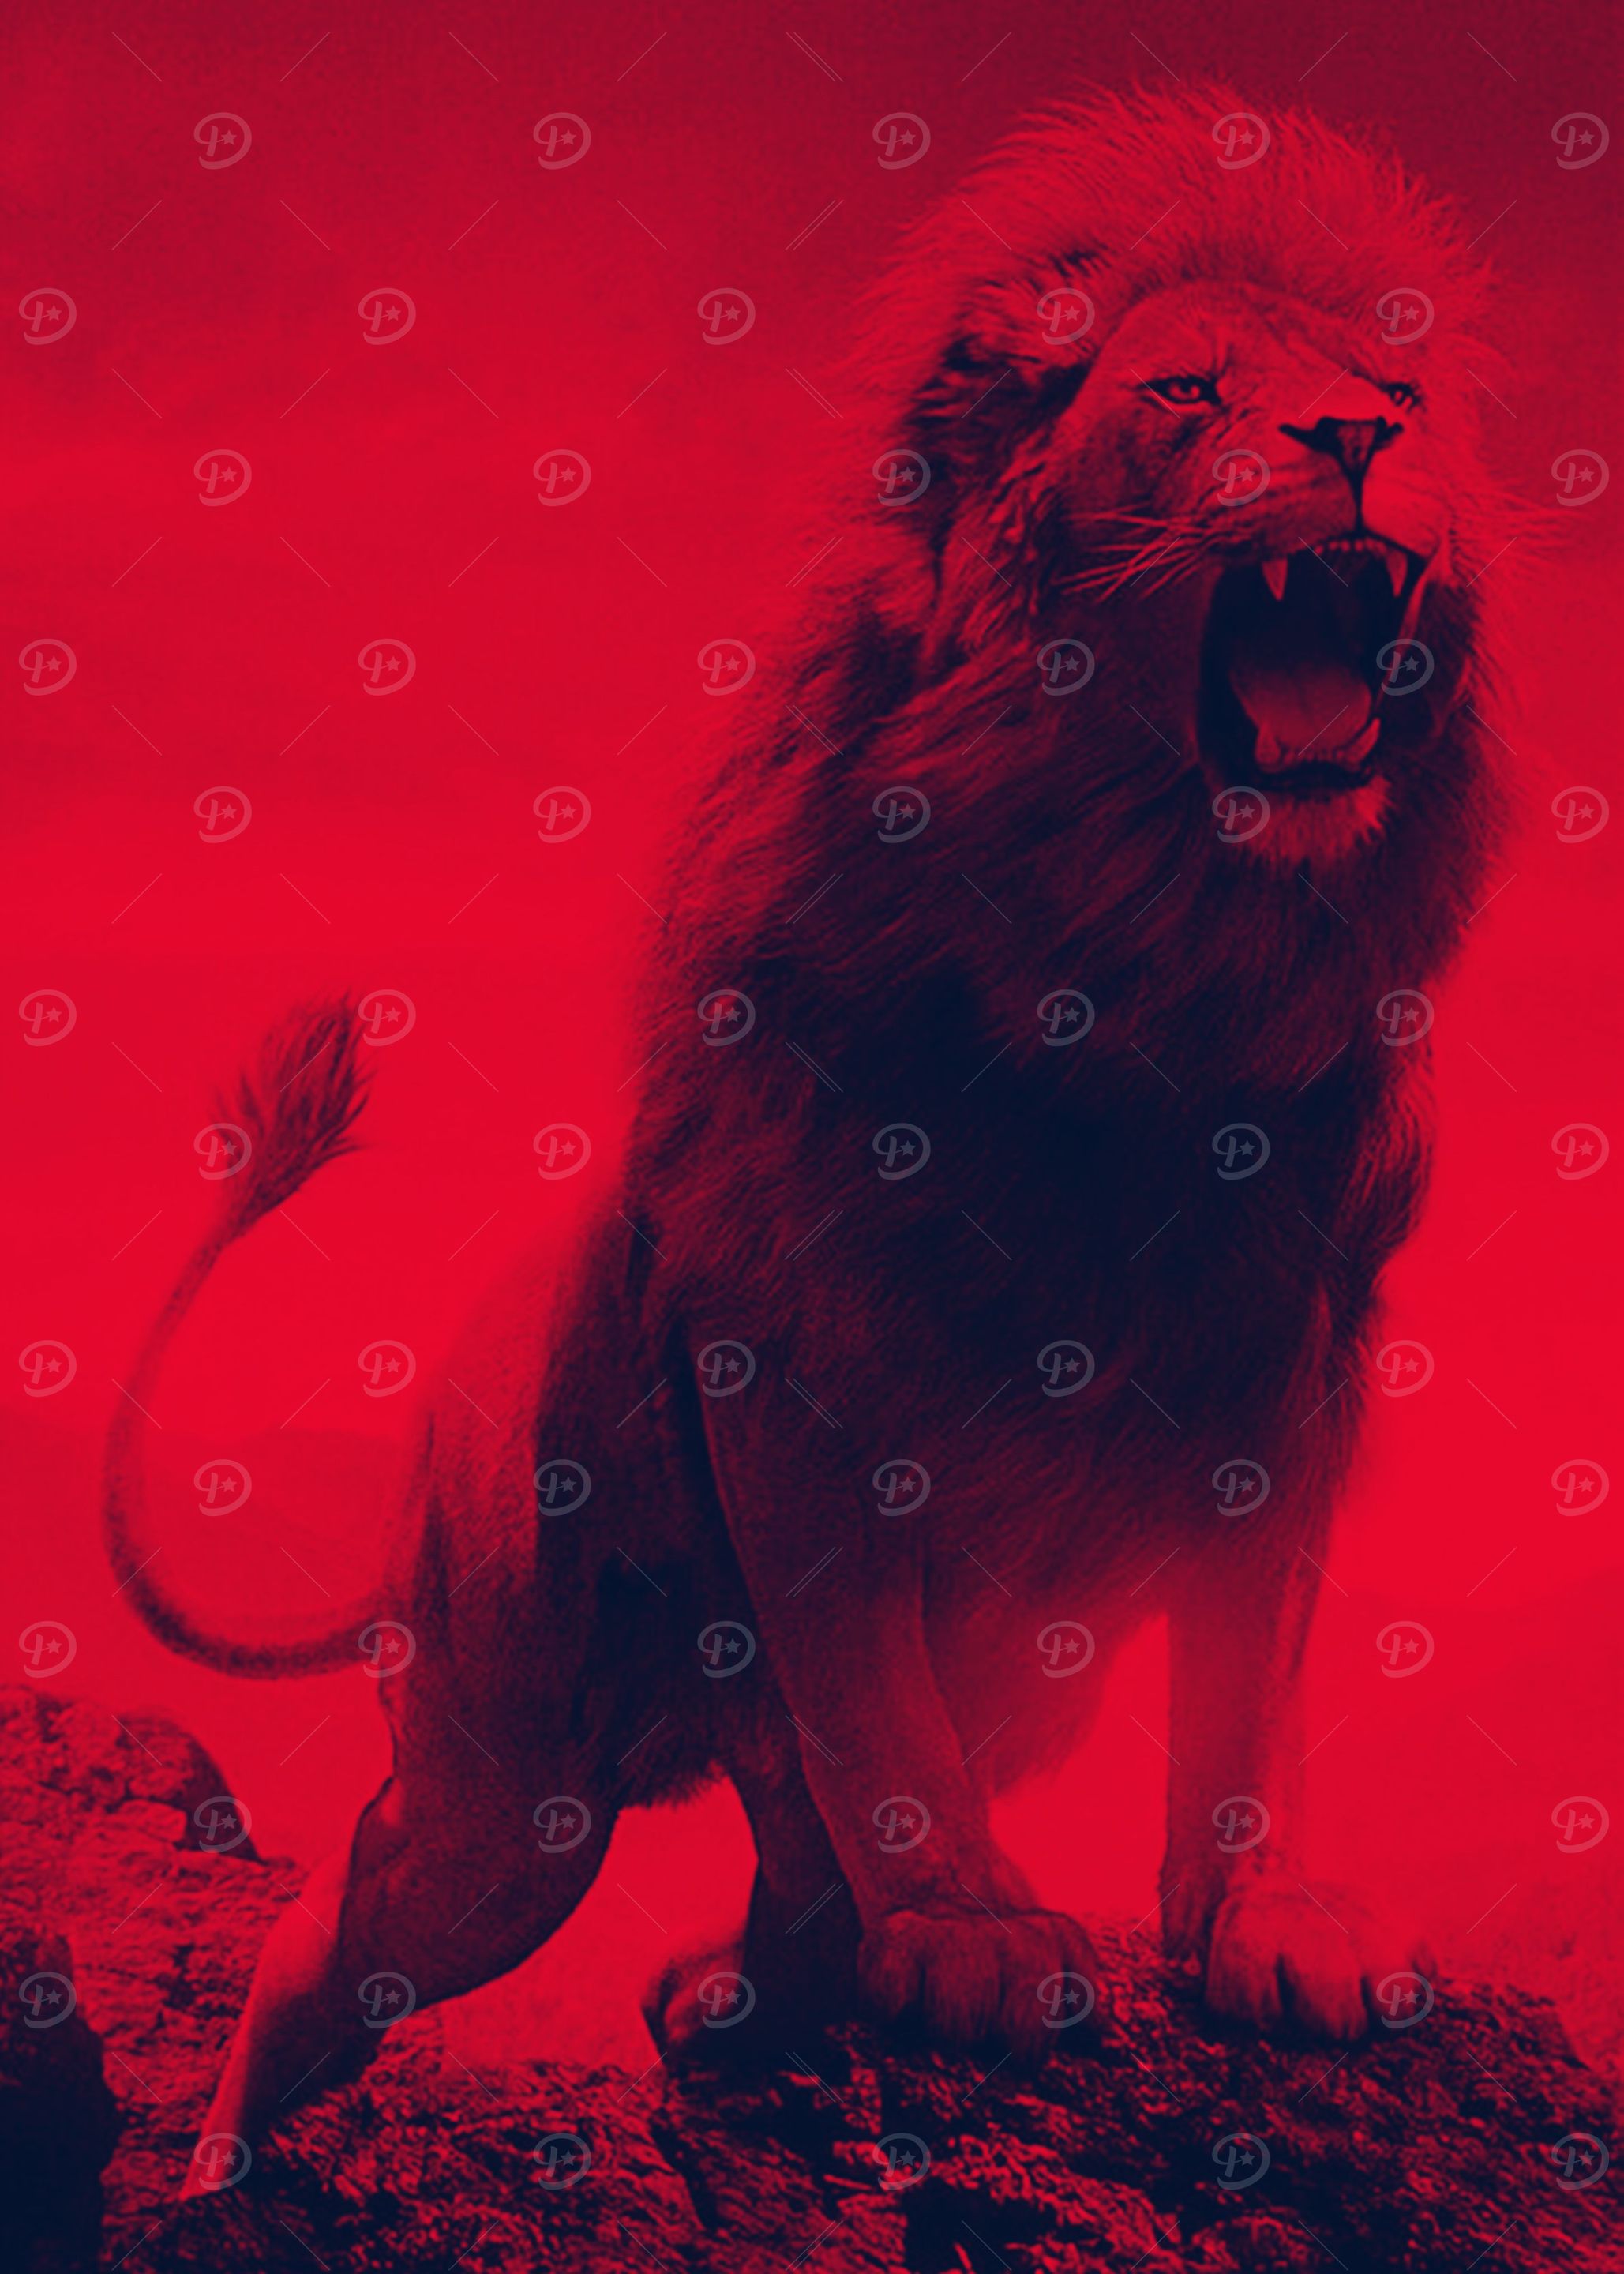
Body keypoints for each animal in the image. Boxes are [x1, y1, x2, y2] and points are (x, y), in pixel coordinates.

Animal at [105, 86, 1513, 2193]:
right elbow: (863, 1690)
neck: (1151, 951)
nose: (1353, 445)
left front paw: (1262, 1922)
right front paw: (973, 1934)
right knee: (344, 1927)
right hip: (498, 1786)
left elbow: (1243, 1678)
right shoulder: (787, 1337)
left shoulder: (1289, 1346)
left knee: (775, 1861)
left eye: (1398, 394)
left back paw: (734, 2008)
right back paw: (221, 2179)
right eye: (1185, 390)